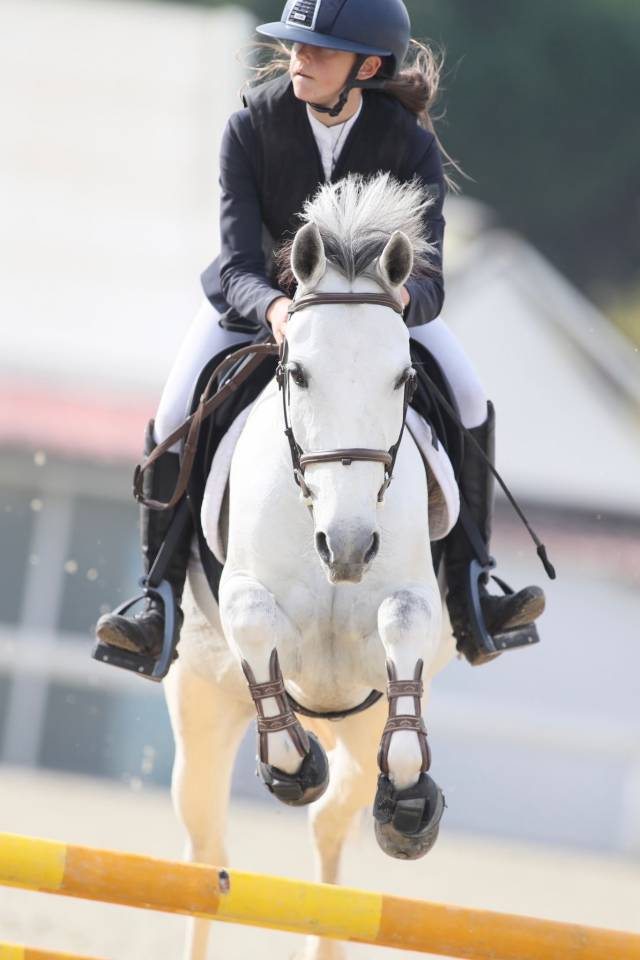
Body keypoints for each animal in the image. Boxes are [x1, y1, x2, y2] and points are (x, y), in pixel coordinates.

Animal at [163, 173, 457, 960]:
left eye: (403, 378)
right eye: (297, 372)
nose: (348, 549)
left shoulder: (406, 618)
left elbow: (401, 624)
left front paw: (410, 805)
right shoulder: (248, 606)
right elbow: (255, 618)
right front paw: (292, 765)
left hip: (355, 723)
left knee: (330, 837)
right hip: (201, 703)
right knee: (206, 854)